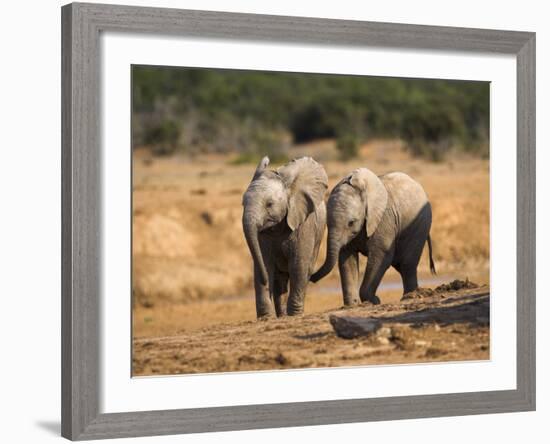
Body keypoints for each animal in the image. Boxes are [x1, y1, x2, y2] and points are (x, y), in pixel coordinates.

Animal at [242, 156, 328, 320]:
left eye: (269, 204)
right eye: (243, 203)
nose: (265, 281)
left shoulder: (303, 224)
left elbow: (298, 265)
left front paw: (294, 315)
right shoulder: (263, 236)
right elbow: (264, 263)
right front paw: (265, 318)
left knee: (304, 272)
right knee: (279, 279)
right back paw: (281, 316)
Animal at [312, 167, 438, 306]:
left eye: (351, 222)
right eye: (327, 223)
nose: (311, 277)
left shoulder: (384, 219)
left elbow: (381, 255)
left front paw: (374, 301)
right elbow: (346, 258)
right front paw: (353, 304)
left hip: (420, 225)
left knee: (407, 264)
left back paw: (410, 296)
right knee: (401, 265)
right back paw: (412, 295)